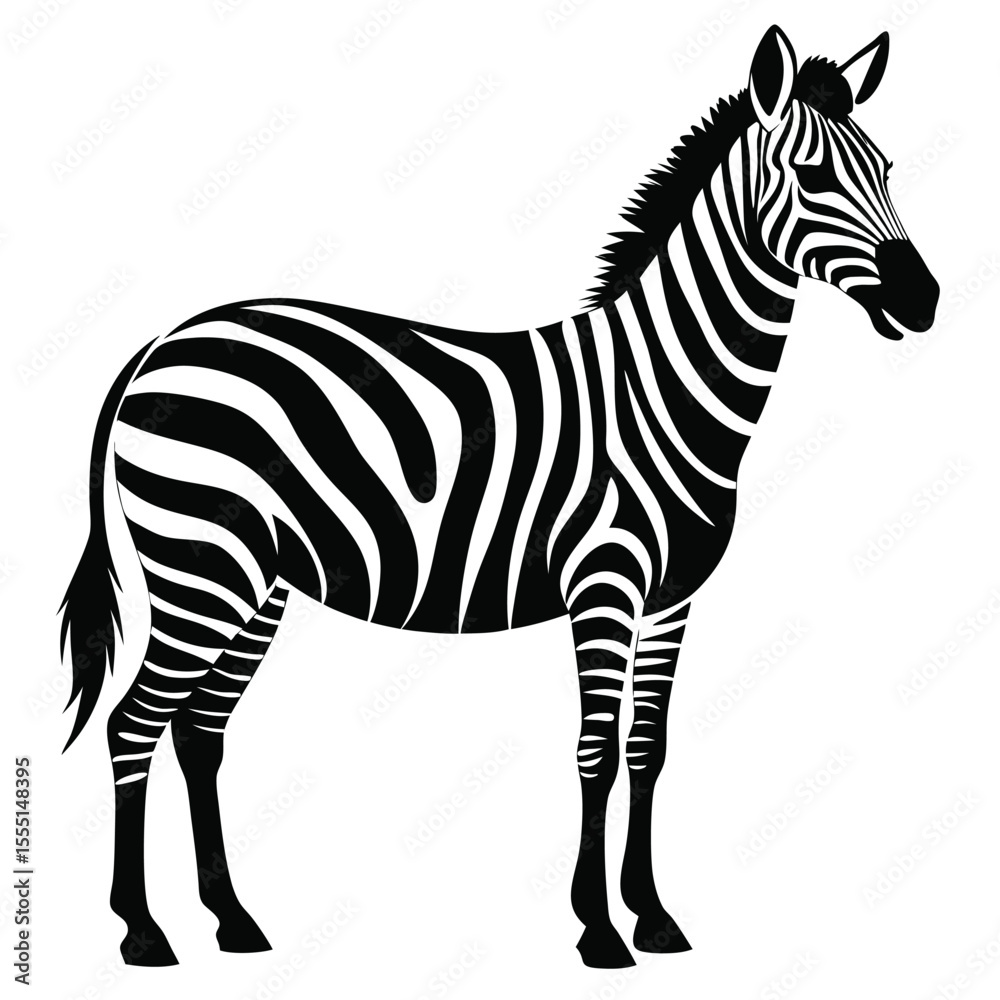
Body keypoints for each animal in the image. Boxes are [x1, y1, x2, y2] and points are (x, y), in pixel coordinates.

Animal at [60, 25, 938, 970]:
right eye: (812, 177)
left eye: (887, 169)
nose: (924, 299)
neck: (662, 385)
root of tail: (161, 341)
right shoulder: (604, 583)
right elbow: (596, 750)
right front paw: (598, 929)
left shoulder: (673, 599)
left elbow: (648, 748)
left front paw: (654, 916)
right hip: (202, 569)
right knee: (133, 724)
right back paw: (143, 931)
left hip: (257, 583)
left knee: (199, 728)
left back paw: (232, 920)